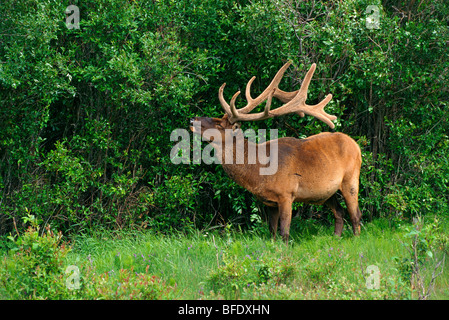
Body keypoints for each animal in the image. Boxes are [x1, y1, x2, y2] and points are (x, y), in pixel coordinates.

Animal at [189, 61, 360, 241]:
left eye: (219, 124)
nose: (192, 120)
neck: (258, 172)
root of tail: (355, 145)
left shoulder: (287, 193)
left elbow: (284, 231)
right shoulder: (269, 201)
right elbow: (272, 231)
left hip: (351, 179)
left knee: (355, 215)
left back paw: (356, 239)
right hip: (327, 193)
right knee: (339, 212)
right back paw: (336, 238)